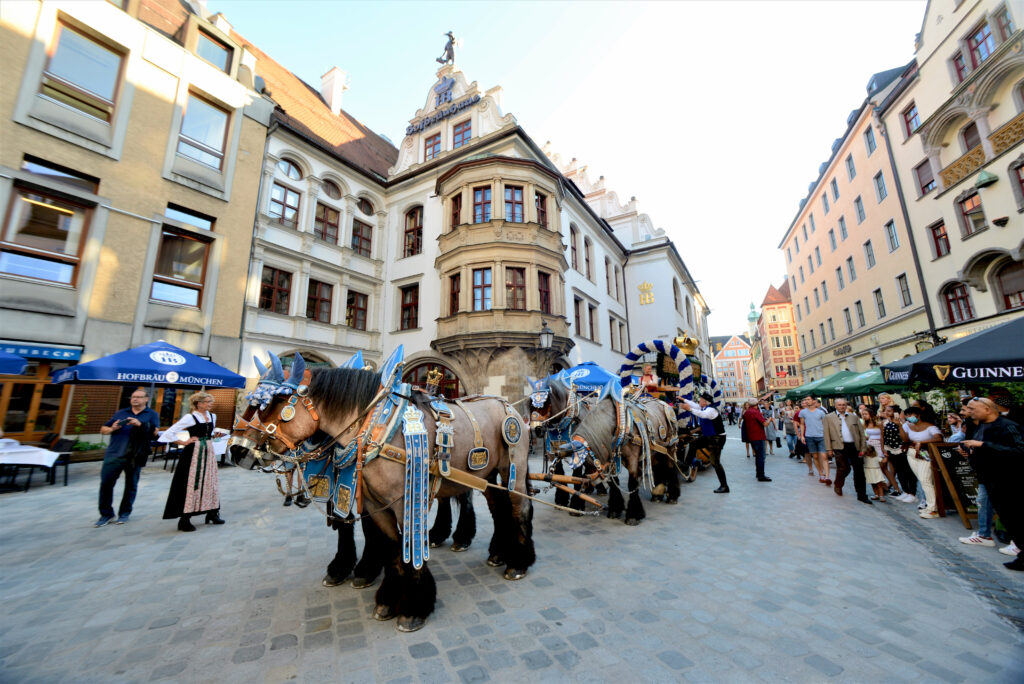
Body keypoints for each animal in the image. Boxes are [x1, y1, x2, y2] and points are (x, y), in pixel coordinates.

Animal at [234, 356, 532, 634]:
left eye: (278, 402)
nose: (240, 450)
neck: (379, 426)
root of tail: (509, 406)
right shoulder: (372, 501)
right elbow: (390, 547)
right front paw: (385, 598)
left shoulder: (405, 502)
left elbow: (407, 545)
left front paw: (412, 609)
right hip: (486, 476)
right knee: (498, 509)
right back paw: (498, 553)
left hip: (513, 470)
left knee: (519, 510)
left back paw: (518, 563)